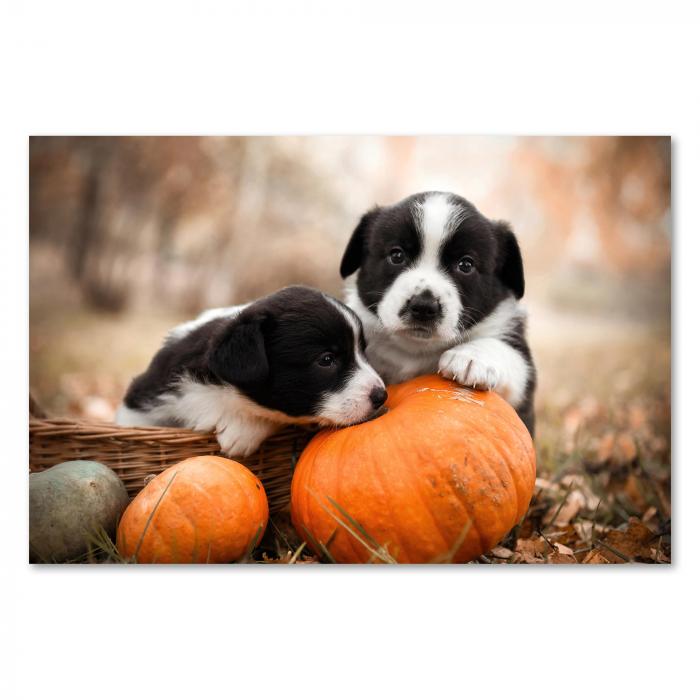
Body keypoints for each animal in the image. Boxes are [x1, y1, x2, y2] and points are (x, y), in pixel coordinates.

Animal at [340, 191, 536, 432]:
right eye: (396, 256)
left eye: (466, 265)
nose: (424, 307)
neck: (415, 348)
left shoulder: (522, 384)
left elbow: (508, 354)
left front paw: (471, 357)